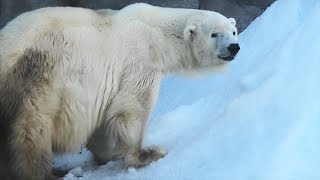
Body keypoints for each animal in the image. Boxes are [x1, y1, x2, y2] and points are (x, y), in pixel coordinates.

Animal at [0, 2, 240, 180]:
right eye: (214, 34)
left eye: (233, 31)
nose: (234, 47)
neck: (159, 32)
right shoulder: (140, 61)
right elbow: (131, 109)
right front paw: (147, 154)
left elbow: (104, 120)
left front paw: (109, 154)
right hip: (36, 78)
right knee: (30, 133)